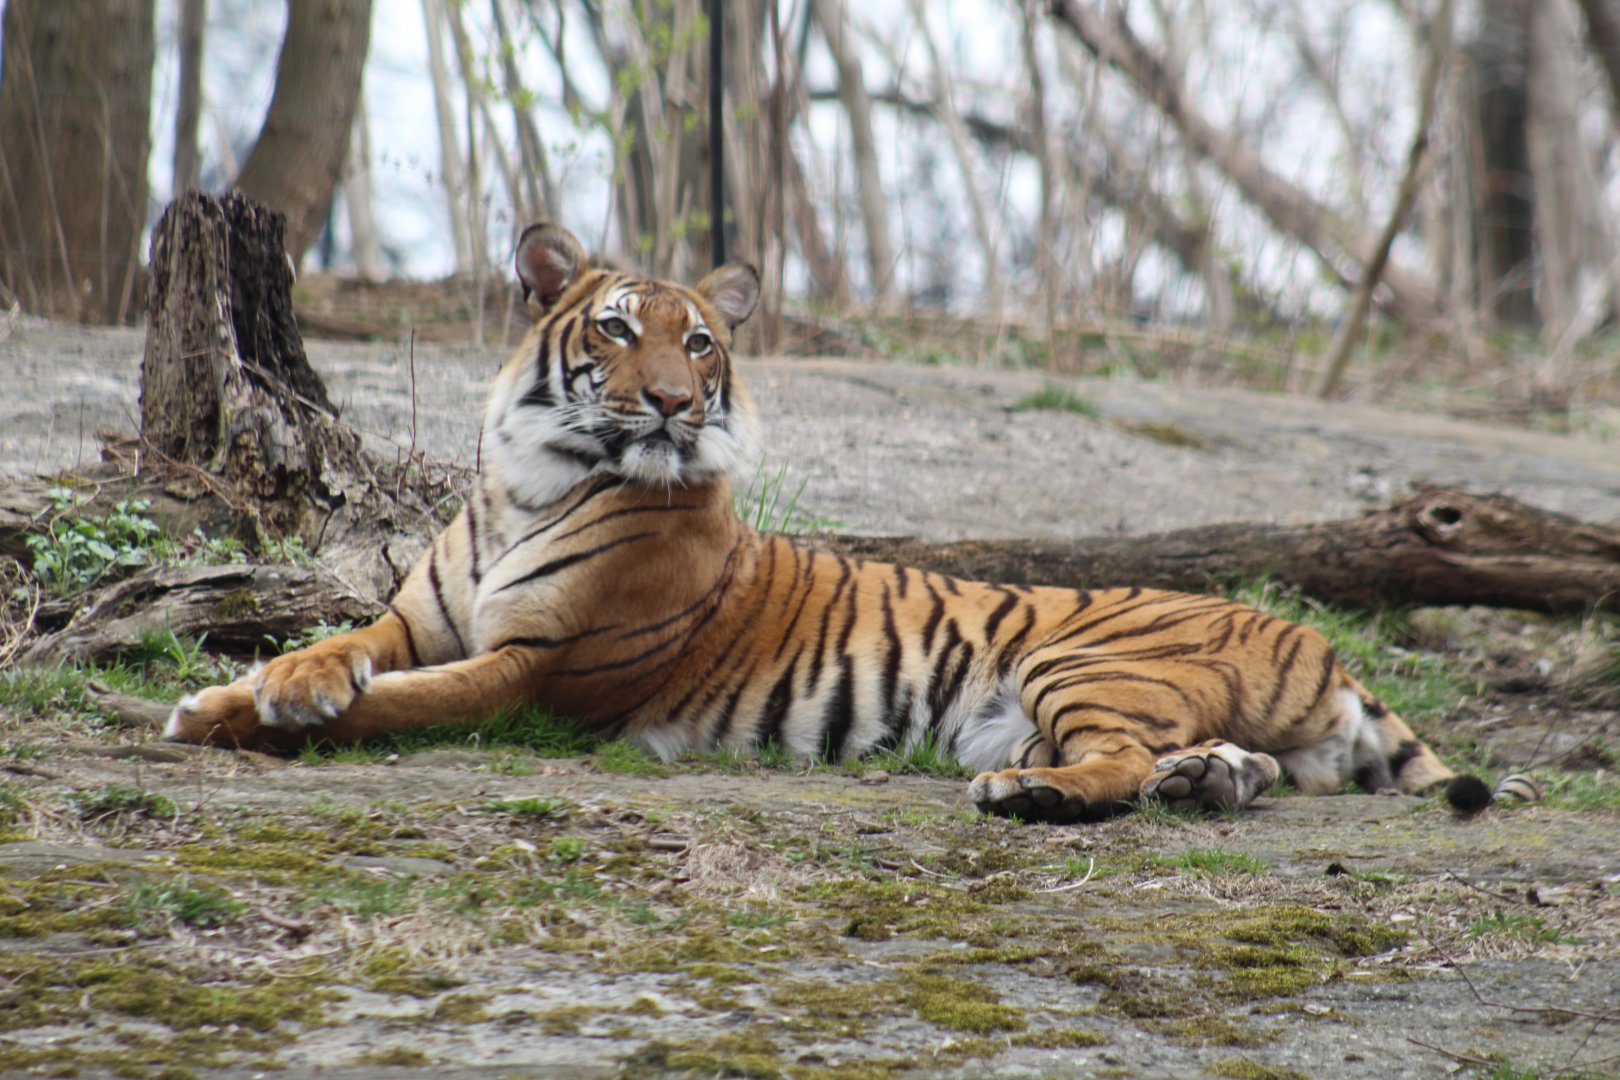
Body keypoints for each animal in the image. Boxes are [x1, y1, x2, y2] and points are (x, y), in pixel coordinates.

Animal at [165, 223, 1533, 822]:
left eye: (699, 344)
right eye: (616, 326)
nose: (673, 403)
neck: (532, 479)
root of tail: (1323, 641)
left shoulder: (535, 670)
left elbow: (401, 707)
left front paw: (225, 713)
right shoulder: (419, 619)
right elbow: (345, 648)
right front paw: (279, 680)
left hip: (1077, 661)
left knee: (1114, 770)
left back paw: (1035, 795)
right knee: (1230, 768)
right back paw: (1210, 779)